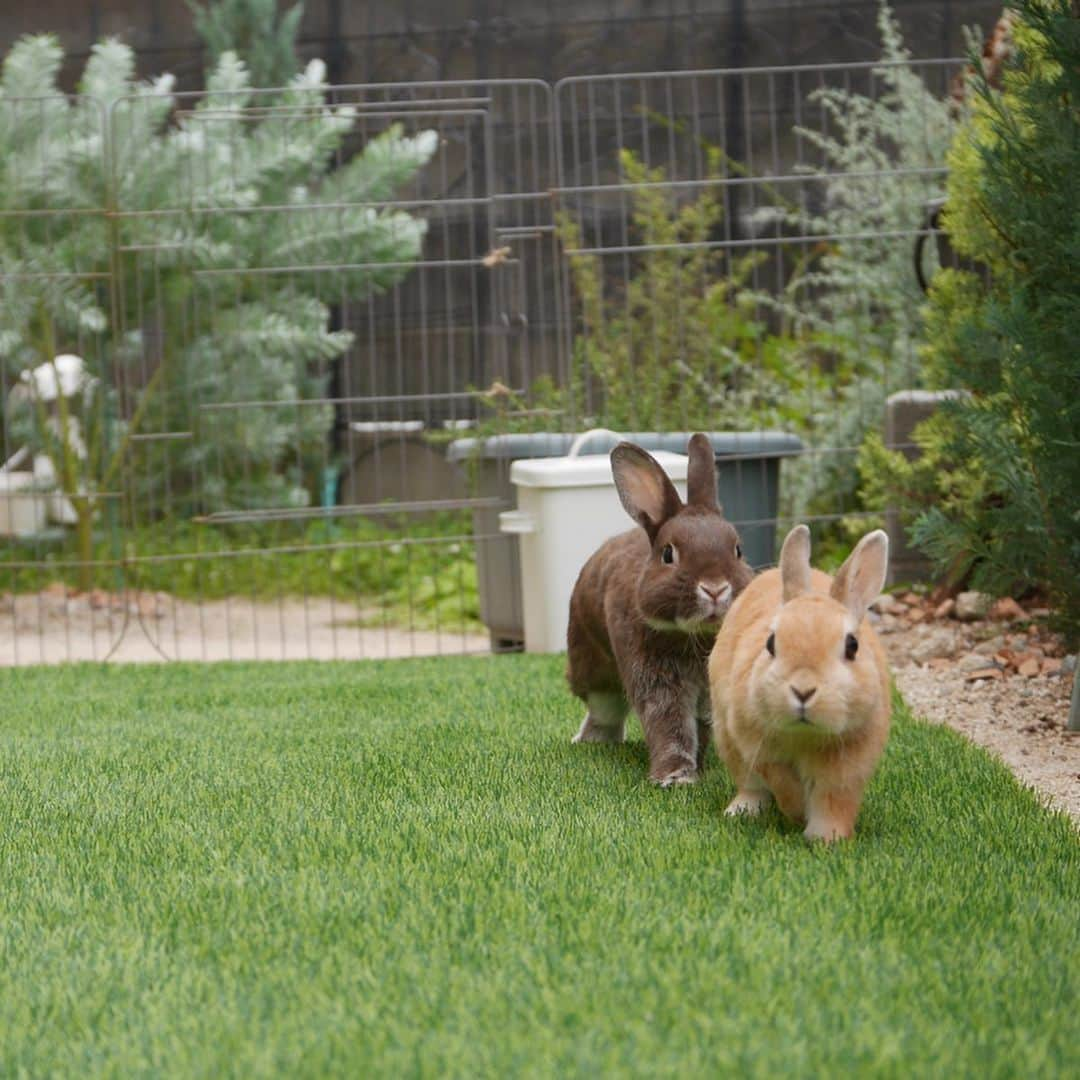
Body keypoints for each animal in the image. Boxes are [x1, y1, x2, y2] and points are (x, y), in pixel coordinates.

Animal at [565, 434, 751, 790]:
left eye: (738, 549)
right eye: (668, 554)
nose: (715, 588)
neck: (693, 635)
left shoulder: (707, 694)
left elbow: (698, 726)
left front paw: (696, 769)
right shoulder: (657, 681)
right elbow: (669, 725)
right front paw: (675, 777)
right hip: (589, 663)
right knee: (604, 706)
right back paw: (593, 741)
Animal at [708, 522, 894, 842]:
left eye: (852, 646)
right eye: (770, 644)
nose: (803, 690)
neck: (805, 735)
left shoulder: (847, 765)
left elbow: (833, 801)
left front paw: (826, 838)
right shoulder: (757, 745)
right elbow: (782, 783)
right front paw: (796, 813)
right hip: (726, 737)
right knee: (750, 785)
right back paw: (740, 812)